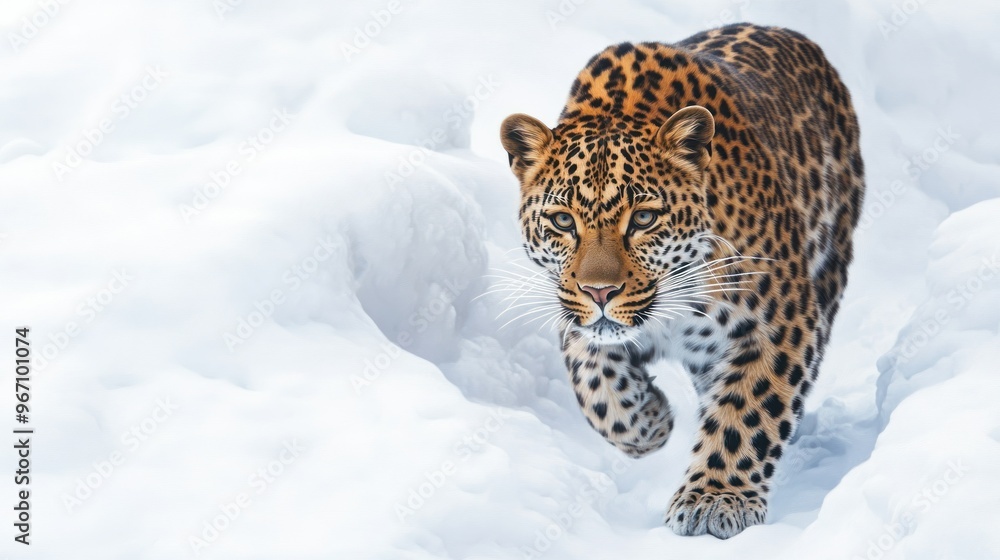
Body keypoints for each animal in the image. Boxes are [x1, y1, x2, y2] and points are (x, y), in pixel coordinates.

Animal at [498, 23, 864, 539]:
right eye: (563, 221)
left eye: (644, 218)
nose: (600, 291)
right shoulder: (573, 310)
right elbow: (595, 382)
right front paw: (647, 422)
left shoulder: (780, 325)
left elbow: (748, 410)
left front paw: (714, 498)